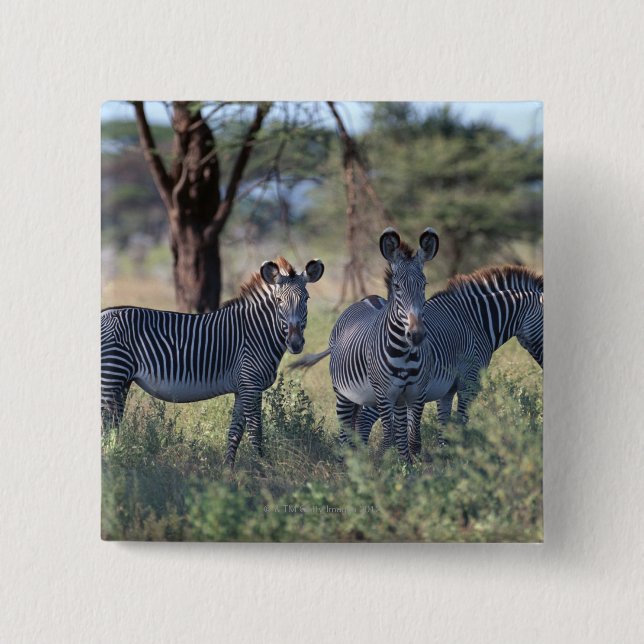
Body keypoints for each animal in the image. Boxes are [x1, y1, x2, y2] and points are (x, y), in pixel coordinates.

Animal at [101, 257, 324, 466]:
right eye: (278, 300)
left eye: (306, 299)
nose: (295, 343)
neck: (256, 332)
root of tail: (103, 313)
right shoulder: (251, 385)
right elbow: (255, 432)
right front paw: (264, 469)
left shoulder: (242, 388)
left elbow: (235, 432)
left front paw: (229, 471)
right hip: (111, 375)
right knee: (105, 424)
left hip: (122, 382)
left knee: (112, 424)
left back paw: (113, 459)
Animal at [290, 228, 439, 463]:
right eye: (397, 287)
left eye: (424, 285)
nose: (416, 335)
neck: (404, 354)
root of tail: (369, 298)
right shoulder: (385, 395)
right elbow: (389, 438)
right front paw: (384, 467)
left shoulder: (416, 394)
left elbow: (412, 440)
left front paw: (409, 468)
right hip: (344, 394)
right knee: (345, 433)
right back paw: (346, 463)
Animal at [356, 265, 543, 450]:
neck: (477, 323)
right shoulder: (469, 380)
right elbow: (461, 420)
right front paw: (462, 452)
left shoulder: (447, 386)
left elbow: (444, 422)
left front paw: (445, 452)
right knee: (364, 420)